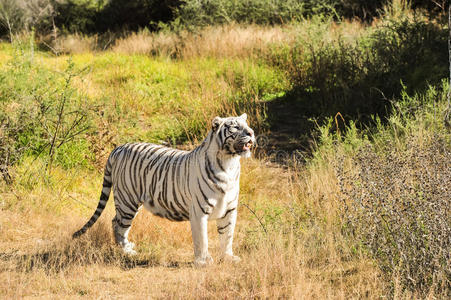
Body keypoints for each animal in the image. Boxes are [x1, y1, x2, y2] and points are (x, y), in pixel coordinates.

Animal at [75, 113, 256, 266]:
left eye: (246, 124)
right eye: (235, 127)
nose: (251, 133)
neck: (229, 164)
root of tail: (118, 148)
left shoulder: (230, 209)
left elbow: (227, 235)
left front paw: (228, 257)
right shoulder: (199, 210)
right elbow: (202, 238)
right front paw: (203, 261)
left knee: (116, 222)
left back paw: (126, 247)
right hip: (127, 201)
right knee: (119, 224)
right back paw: (126, 251)